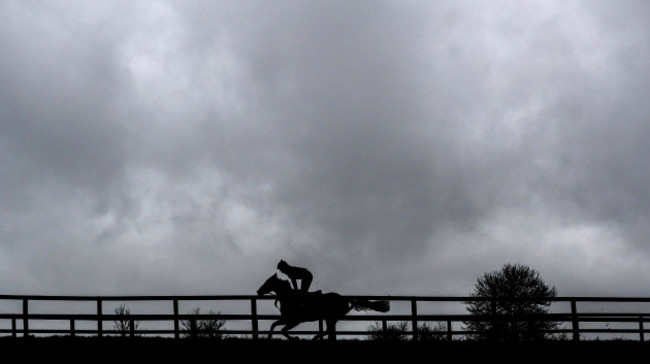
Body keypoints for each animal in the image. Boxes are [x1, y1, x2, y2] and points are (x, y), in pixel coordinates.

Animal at [256, 272, 388, 342]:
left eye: (268, 282)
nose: (258, 291)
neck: (289, 298)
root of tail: (344, 299)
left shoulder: (295, 320)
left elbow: (282, 330)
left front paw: (295, 338)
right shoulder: (287, 319)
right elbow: (273, 325)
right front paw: (268, 337)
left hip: (332, 317)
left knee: (328, 330)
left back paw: (315, 337)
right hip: (330, 318)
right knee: (330, 331)